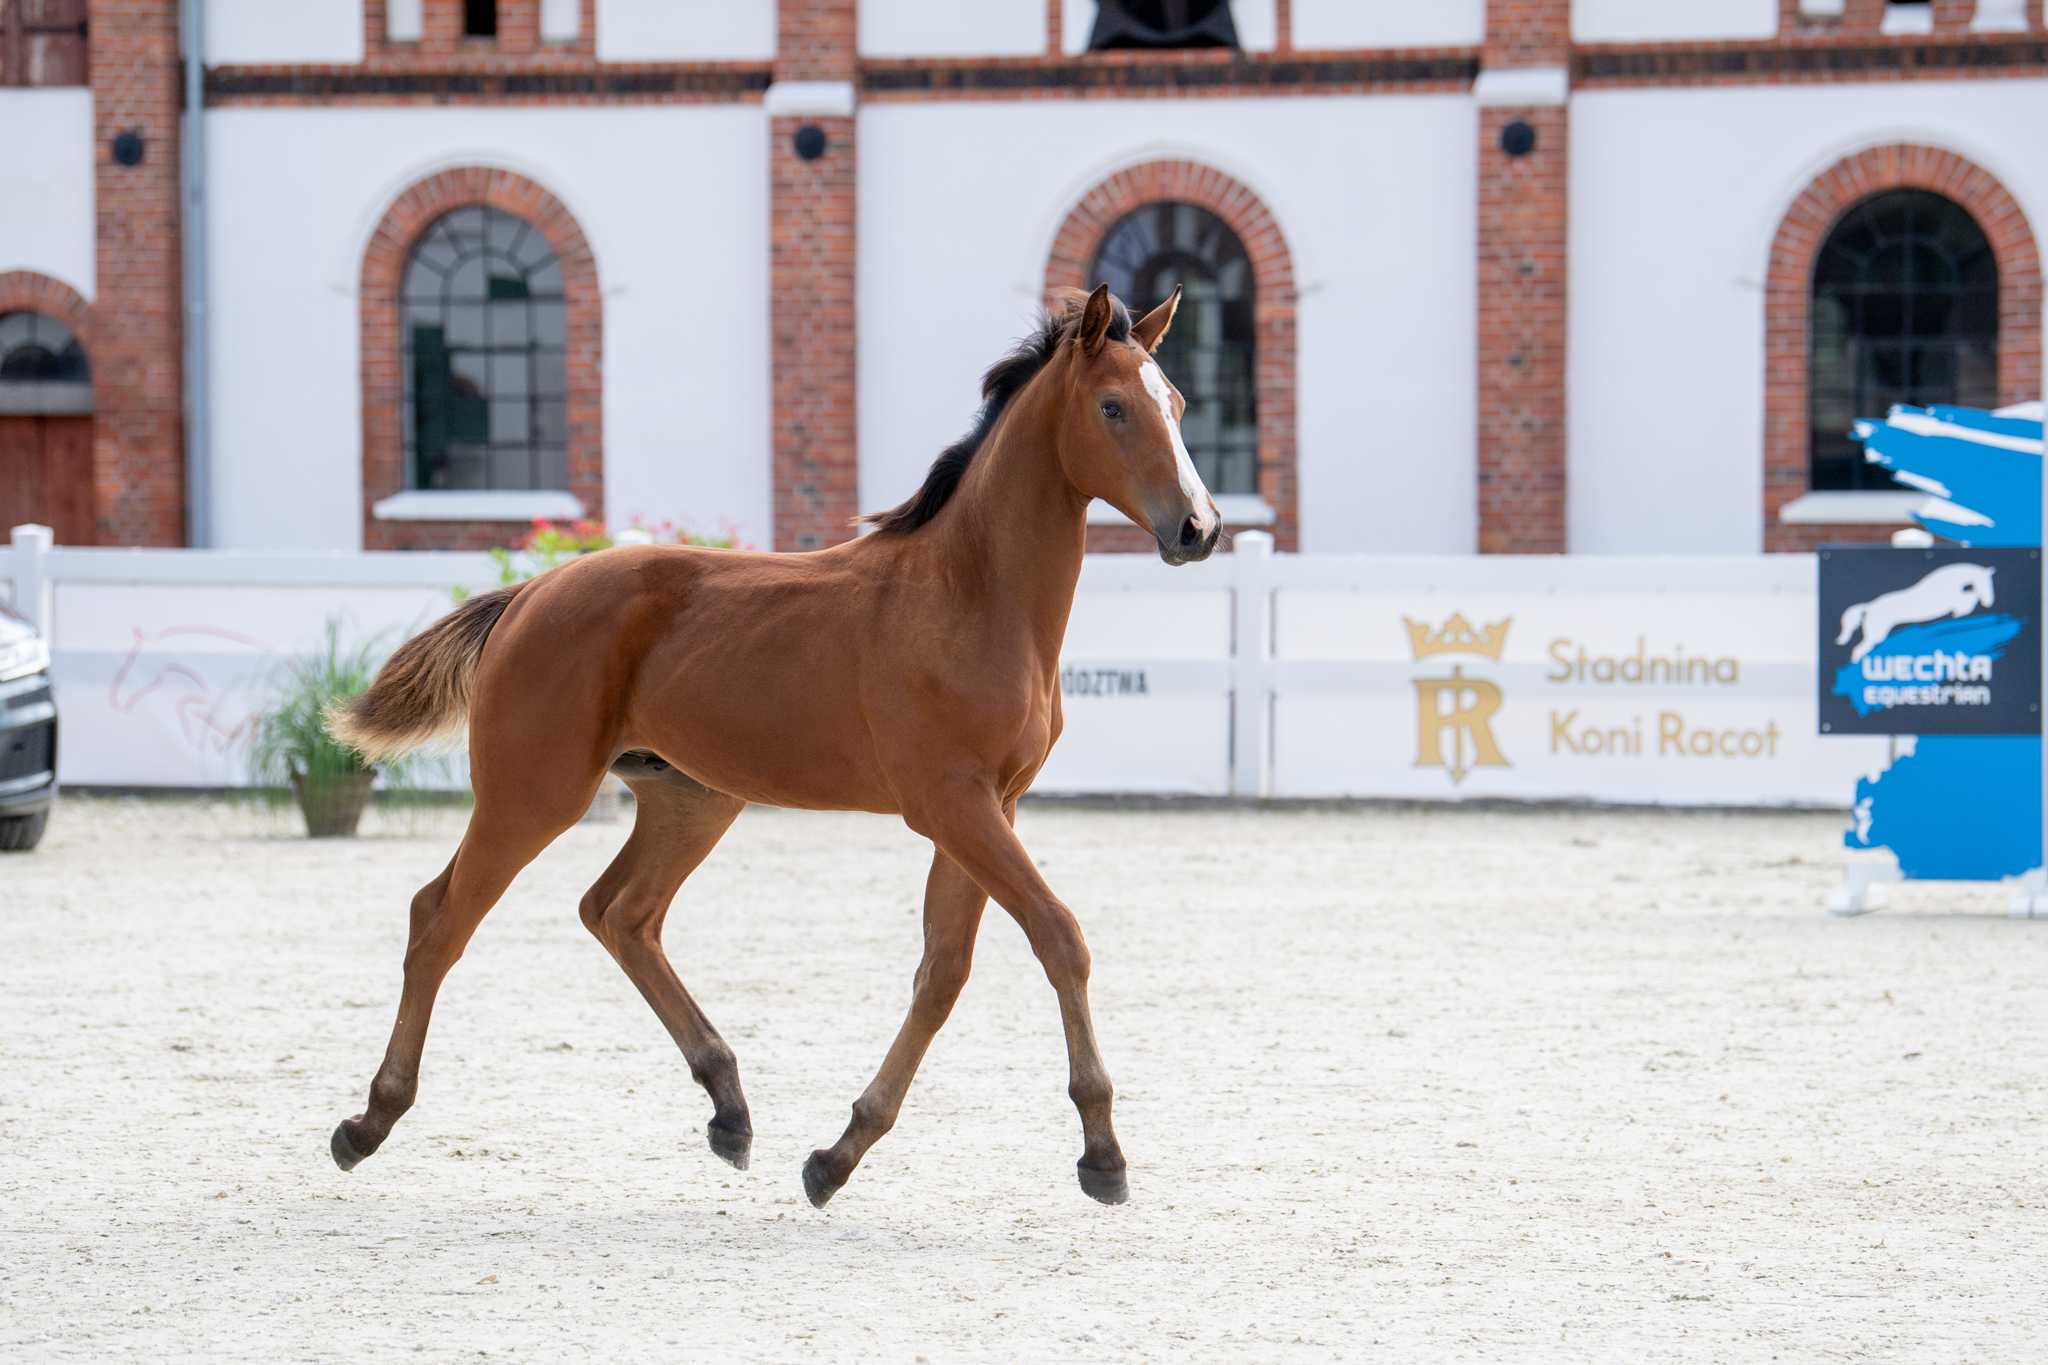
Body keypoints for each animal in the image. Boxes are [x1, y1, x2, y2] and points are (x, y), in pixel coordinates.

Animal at [325, 285, 1220, 1207]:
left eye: (1179, 403)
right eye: (1112, 406)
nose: (1199, 528)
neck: (969, 593)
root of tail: (532, 589)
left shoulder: (988, 807)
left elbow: (943, 970)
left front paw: (838, 1154)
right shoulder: (951, 803)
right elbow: (1058, 934)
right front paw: (1103, 1154)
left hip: (690, 797)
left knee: (620, 911)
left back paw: (729, 1107)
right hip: (531, 794)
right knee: (440, 915)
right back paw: (367, 1121)